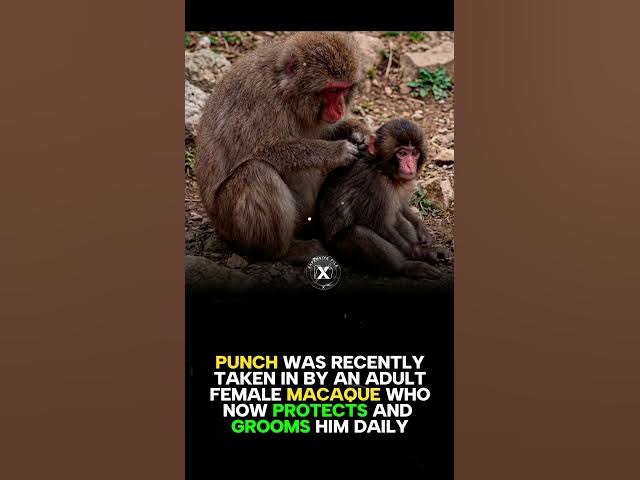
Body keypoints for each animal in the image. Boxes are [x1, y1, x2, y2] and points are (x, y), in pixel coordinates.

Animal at [195, 32, 370, 263]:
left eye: (346, 89)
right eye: (333, 91)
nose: (341, 108)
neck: (285, 89)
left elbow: (323, 132)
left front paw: (360, 132)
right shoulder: (262, 101)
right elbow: (263, 150)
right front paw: (338, 151)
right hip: (229, 224)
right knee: (256, 172)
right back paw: (286, 251)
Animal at [316, 118, 452, 279]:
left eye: (415, 153)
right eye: (402, 153)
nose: (409, 165)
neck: (381, 168)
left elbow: (400, 206)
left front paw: (421, 229)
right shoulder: (374, 183)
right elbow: (379, 225)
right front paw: (423, 252)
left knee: (397, 216)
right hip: (339, 250)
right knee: (357, 232)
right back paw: (405, 267)